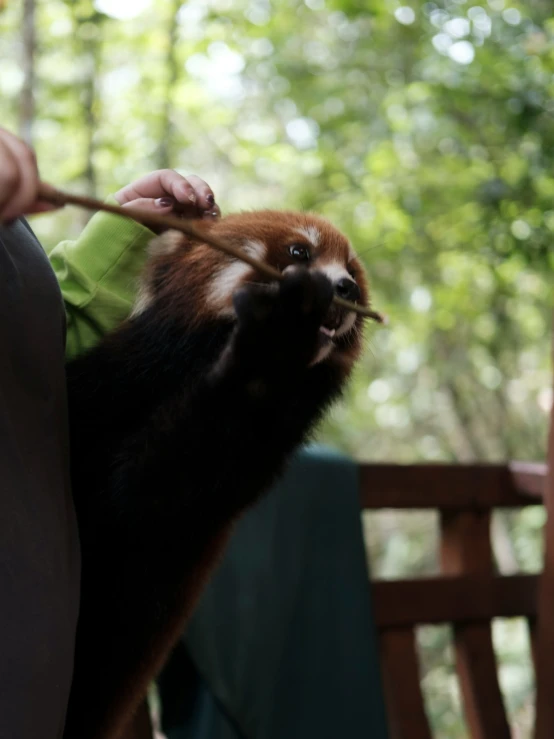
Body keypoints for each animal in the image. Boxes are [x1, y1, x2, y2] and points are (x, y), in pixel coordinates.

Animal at [62, 210, 368, 739]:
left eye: (350, 269)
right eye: (299, 252)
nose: (344, 287)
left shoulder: (229, 463)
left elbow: (148, 494)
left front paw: (274, 349)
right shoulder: (110, 384)